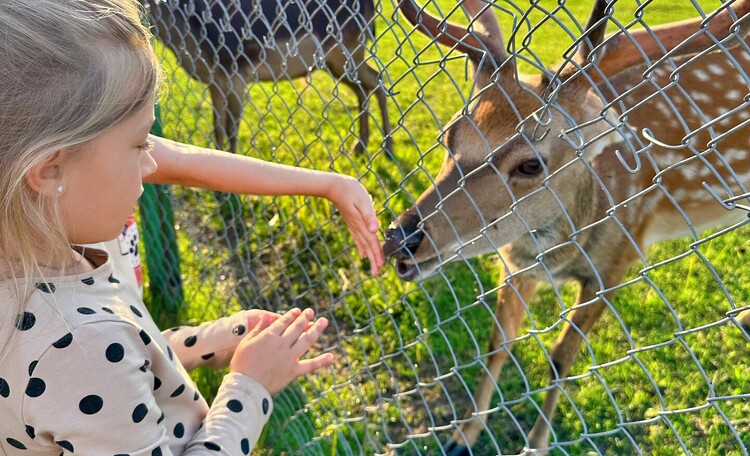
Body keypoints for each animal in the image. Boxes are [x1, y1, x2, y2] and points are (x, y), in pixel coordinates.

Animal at [139, 0, 394, 157]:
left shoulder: (235, 73)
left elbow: (231, 130)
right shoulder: (215, 81)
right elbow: (217, 128)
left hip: (347, 49)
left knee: (378, 79)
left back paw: (387, 149)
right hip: (336, 61)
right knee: (364, 88)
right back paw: (360, 146)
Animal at [384, 0, 750, 454]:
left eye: (530, 164)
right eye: (450, 134)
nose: (400, 238)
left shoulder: (619, 260)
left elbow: (560, 358)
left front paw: (536, 444)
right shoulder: (517, 264)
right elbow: (497, 342)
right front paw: (462, 434)